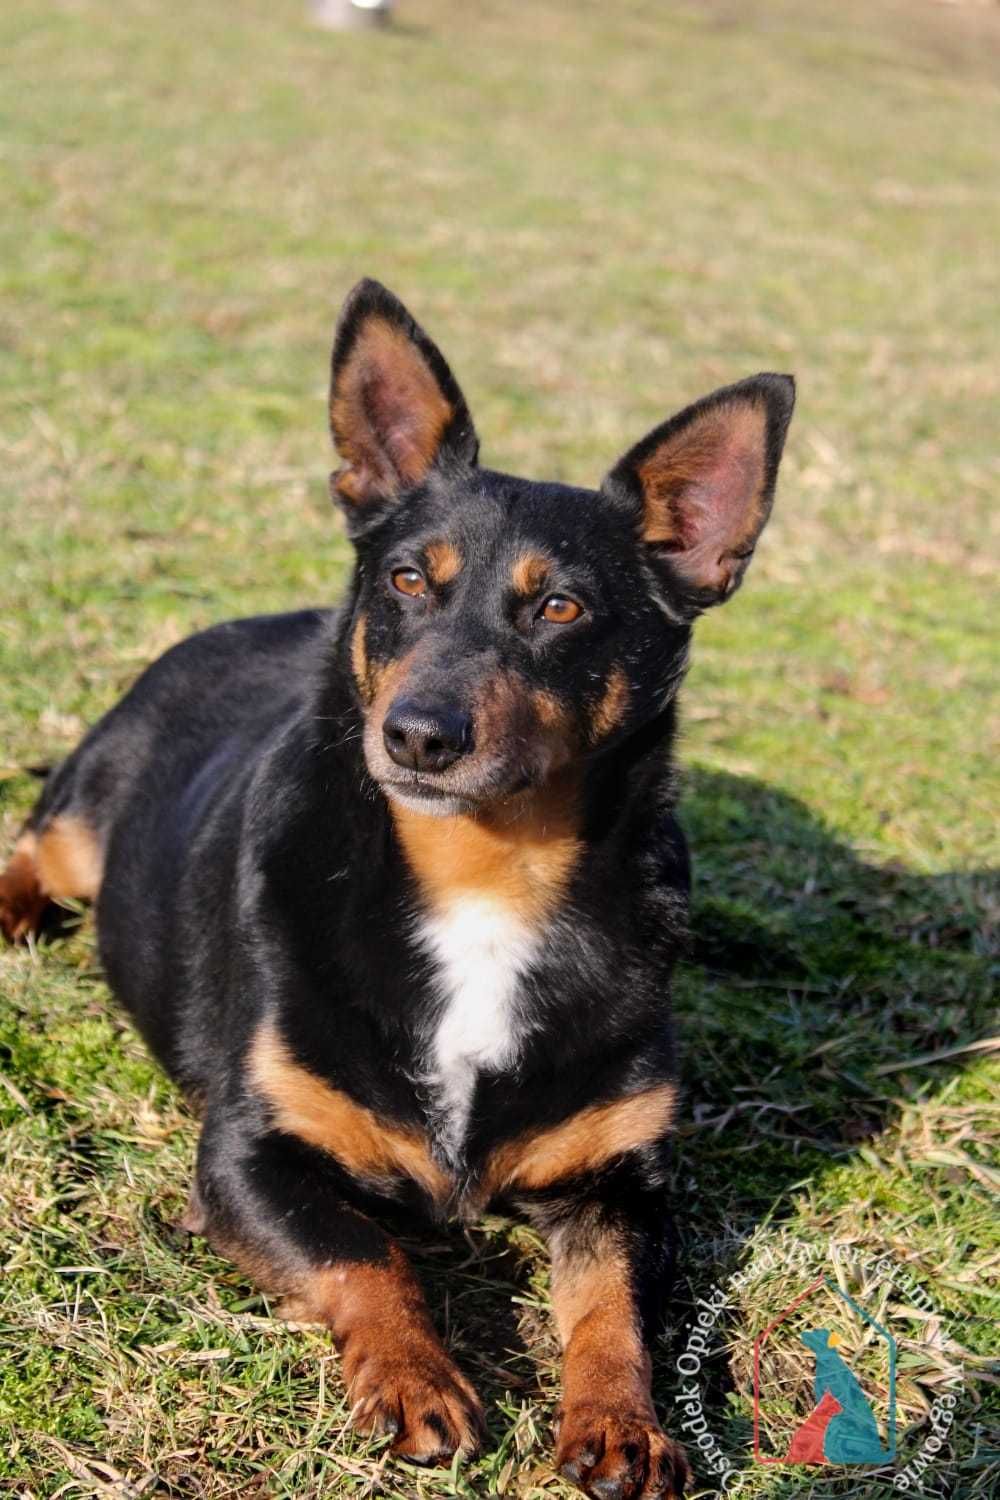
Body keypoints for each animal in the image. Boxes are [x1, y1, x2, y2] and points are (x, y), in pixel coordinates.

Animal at [1, 283, 797, 1500]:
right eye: (407, 581)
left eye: (561, 609)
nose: (419, 733)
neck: (482, 876)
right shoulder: (247, 1157)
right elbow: (369, 1254)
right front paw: (417, 1380)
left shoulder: (627, 1184)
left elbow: (610, 1308)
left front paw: (623, 1422)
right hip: (93, 805)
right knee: (36, 844)